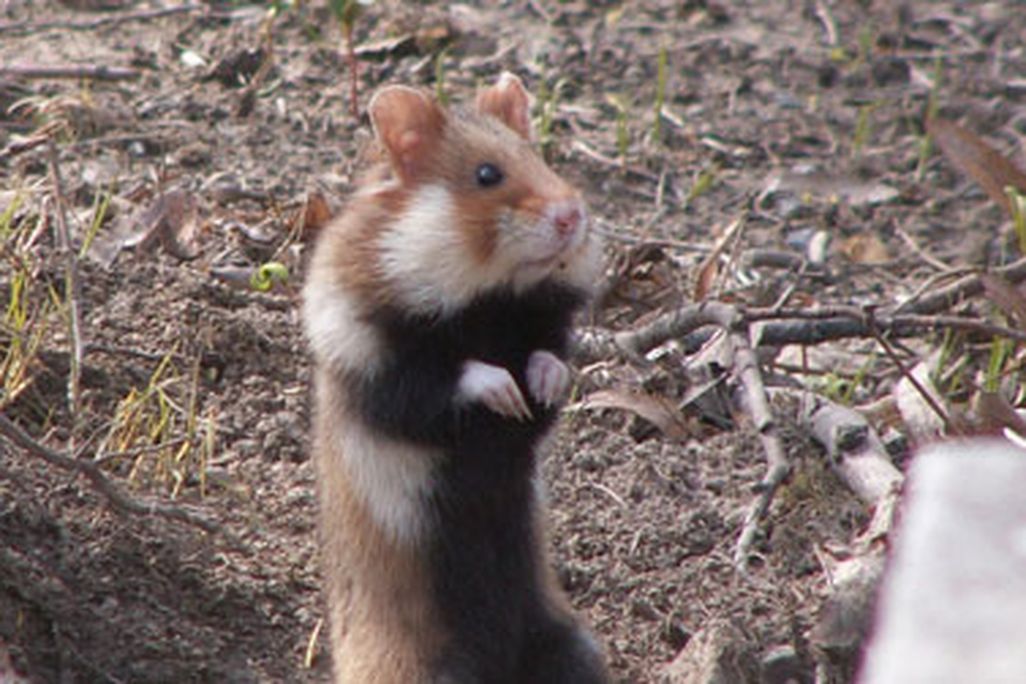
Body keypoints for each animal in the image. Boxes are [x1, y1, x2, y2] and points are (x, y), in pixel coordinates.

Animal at [303, 72, 608, 684]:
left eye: (539, 156)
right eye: (486, 174)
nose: (572, 216)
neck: (484, 298)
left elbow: (547, 359)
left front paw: (541, 381)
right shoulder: (376, 368)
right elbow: (448, 378)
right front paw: (507, 392)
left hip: (569, 645)